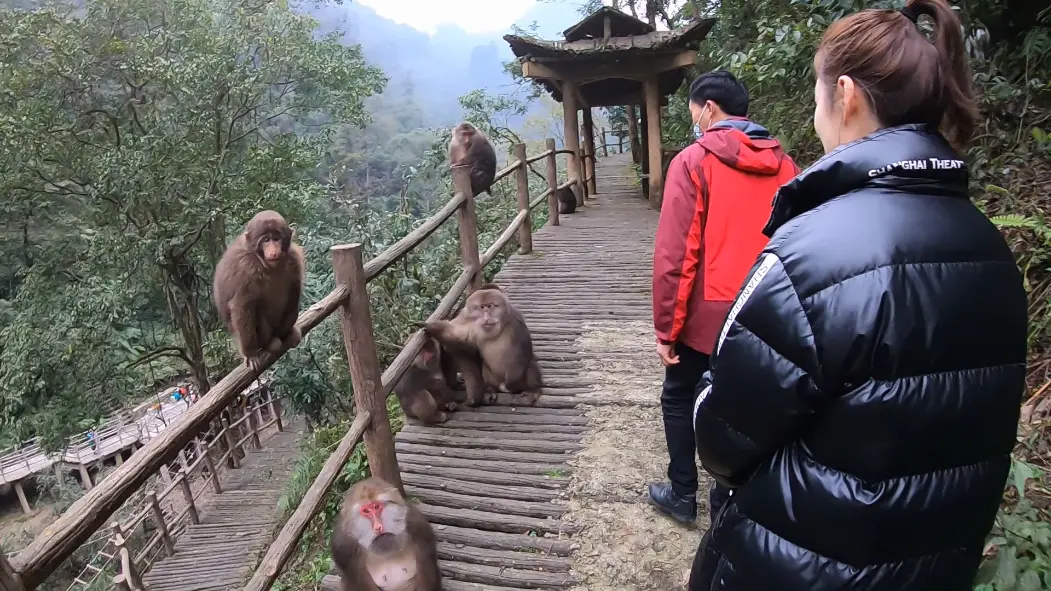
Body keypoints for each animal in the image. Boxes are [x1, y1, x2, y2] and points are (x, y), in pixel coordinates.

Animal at [211, 209, 304, 370]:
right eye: (266, 240)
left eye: (276, 239)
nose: (273, 250)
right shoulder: (246, 267)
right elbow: (241, 306)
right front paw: (250, 354)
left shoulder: (294, 258)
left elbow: (294, 290)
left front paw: (286, 333)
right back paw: (269, 343)